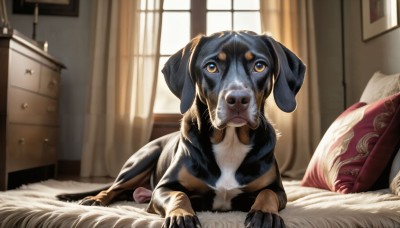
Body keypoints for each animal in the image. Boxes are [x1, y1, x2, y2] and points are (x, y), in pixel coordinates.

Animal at [57, 30, 304, 228]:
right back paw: (96, 199)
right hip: (141, 160)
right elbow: (178, 195)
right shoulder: (163, 188)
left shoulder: (278, 189)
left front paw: (264, 213)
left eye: (259, 65)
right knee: (113, 188)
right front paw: (181, 215)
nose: (237, 99)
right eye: (212, 66)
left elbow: (267, 193)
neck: (230, 141)